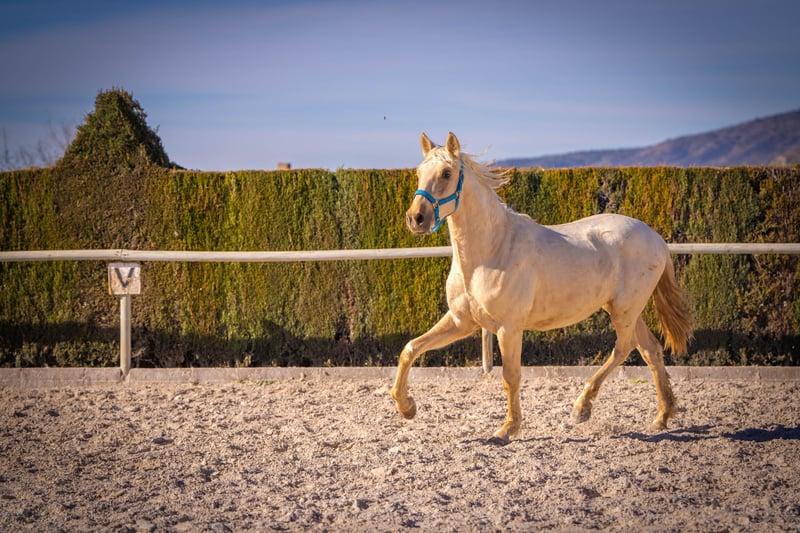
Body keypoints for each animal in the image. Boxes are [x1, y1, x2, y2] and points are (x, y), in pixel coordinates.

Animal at [390, 132, 693, 443]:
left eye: (446, 173)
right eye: (419, 173)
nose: (416, 219)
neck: (491, 250)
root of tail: (656, 238)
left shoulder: (509, 328)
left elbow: (510, 377)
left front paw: (507, 429)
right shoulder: (462, 321)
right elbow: (410, 348)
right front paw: (407, 407)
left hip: (624, 309)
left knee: (624, 348)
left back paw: (582, 408)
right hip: (627, 309)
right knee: (650, 350)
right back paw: (662, 417)